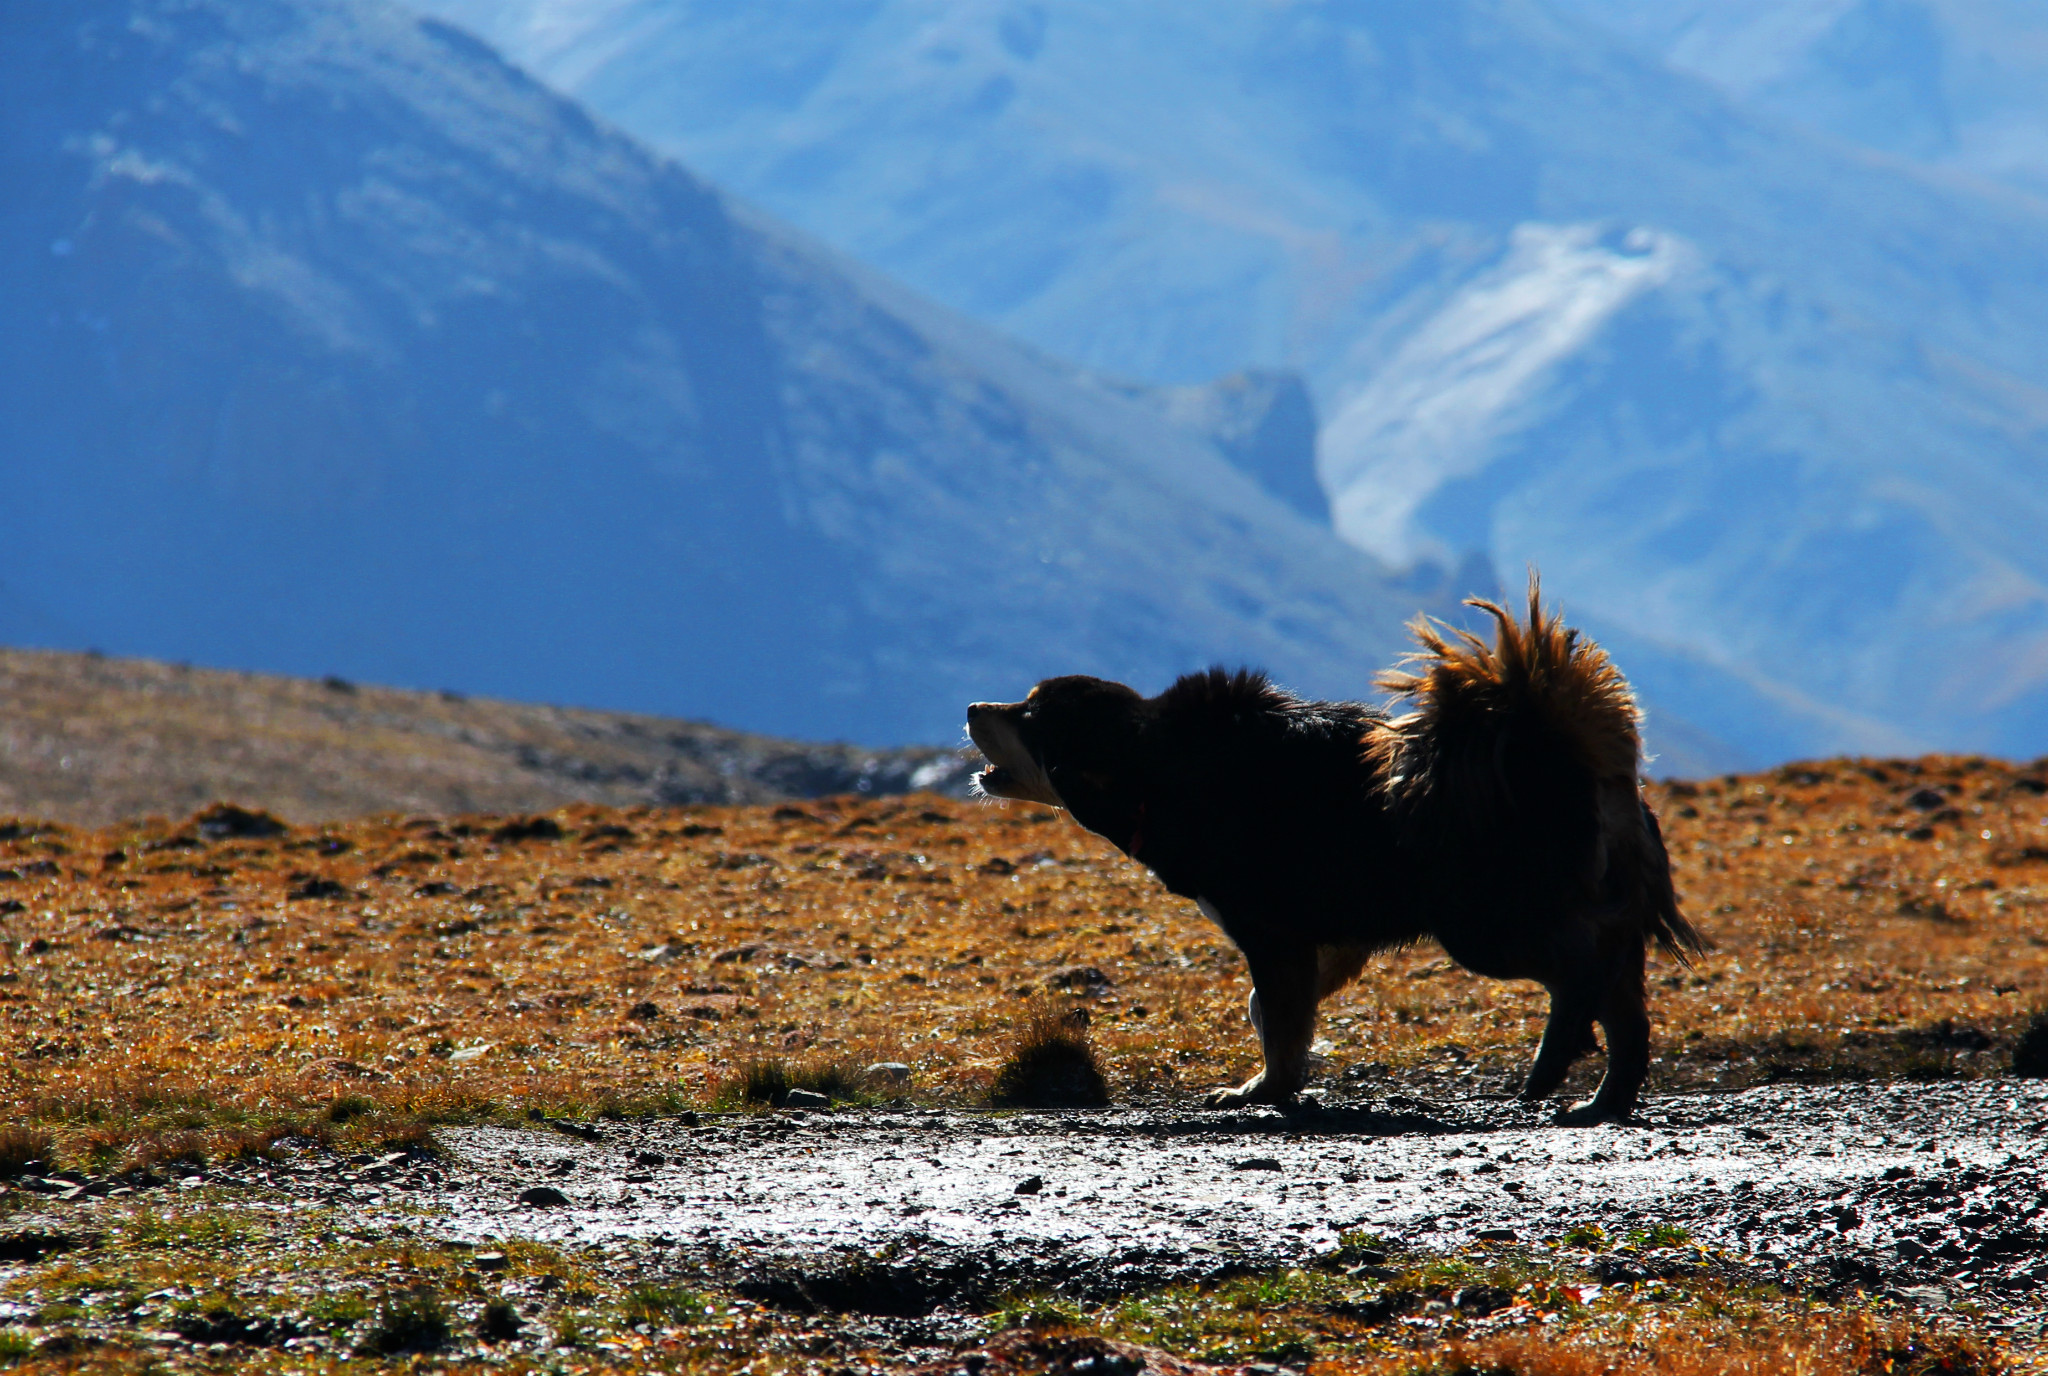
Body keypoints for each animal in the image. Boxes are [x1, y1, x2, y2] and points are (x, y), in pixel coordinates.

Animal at [966, 581, 1703, 1113]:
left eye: (1028, 715)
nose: (973, 707)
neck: (1156, 765)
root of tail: (1563, 757)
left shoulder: (1274, 933)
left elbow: (1280, 1015)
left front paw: (1265, 1092)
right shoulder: (1330, 935)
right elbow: (1274, 1013)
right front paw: (1269, 1083)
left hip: (1484, 923)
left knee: (1581, 974)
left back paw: (1553, 1066)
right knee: (1625, 1009)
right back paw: (1602, 1102)